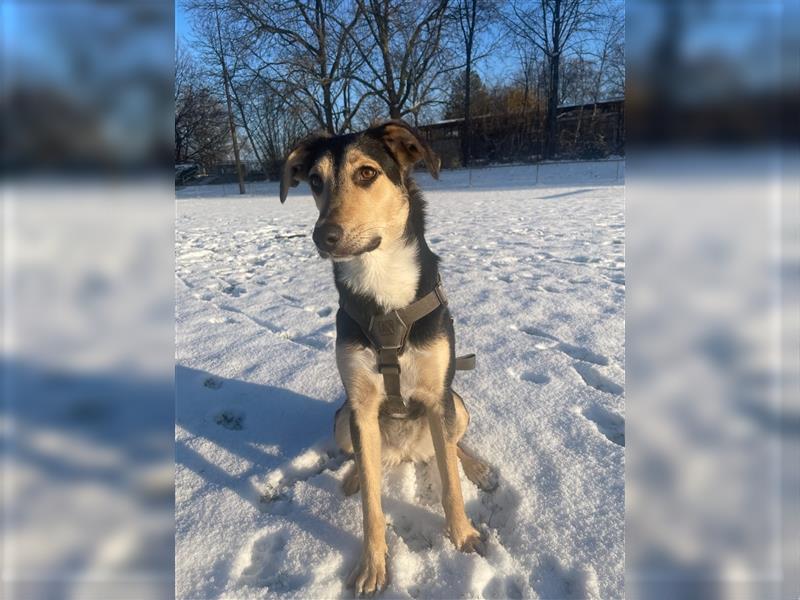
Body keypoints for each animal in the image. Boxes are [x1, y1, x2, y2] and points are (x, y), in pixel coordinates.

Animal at [280, 120, 494, 596]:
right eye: (315, 181)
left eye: (367, 173)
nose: (324, 236)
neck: (380, 281)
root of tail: (405, 454)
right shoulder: (359, 405)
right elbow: (372, 509)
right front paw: (372, 566)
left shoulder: (437, 394)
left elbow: (451, 486)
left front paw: (464, 537)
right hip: (342, 419)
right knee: (366, 459)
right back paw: (358, 474)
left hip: (457, 403)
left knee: (451, 446)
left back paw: (476, 466)